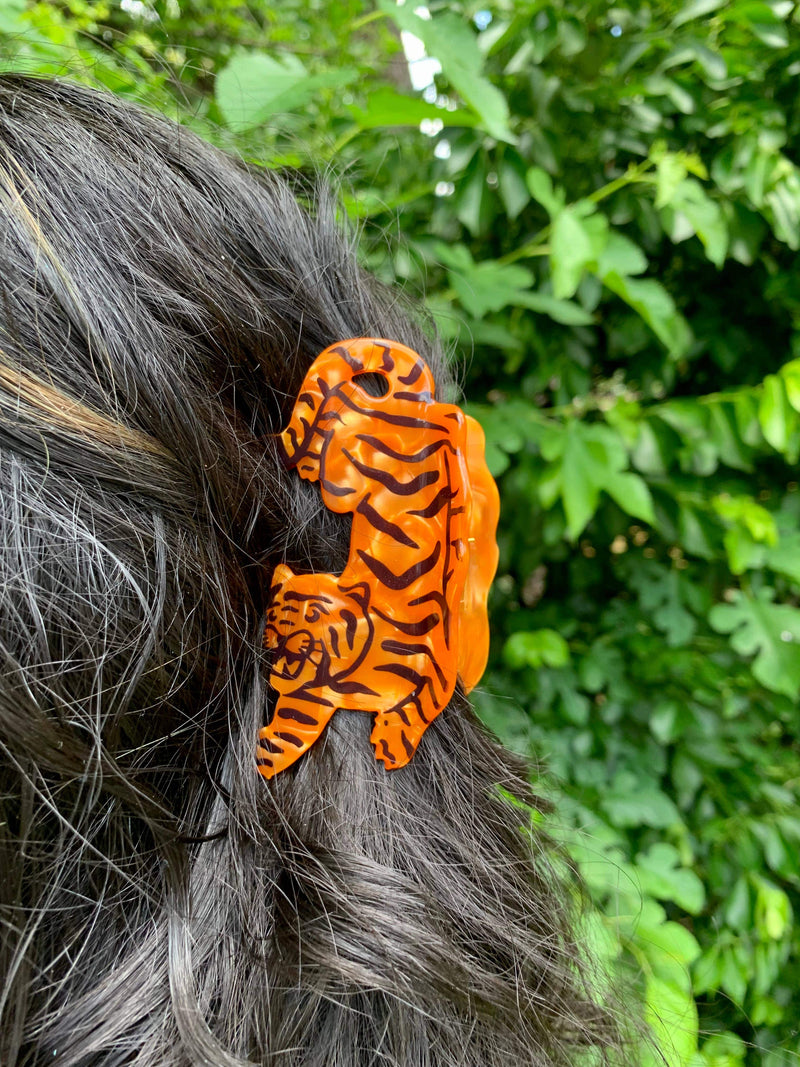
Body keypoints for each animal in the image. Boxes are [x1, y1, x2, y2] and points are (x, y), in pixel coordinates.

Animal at [256, 338, 499, 778]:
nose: (276, 634)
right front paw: (261, 767)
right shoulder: (311, 697)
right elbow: (286, 737)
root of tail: (417, 400)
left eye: (312, 614)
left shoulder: (434, 672)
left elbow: (419, 707)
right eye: (275, 608)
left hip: (346, 476)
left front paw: (392, 745)